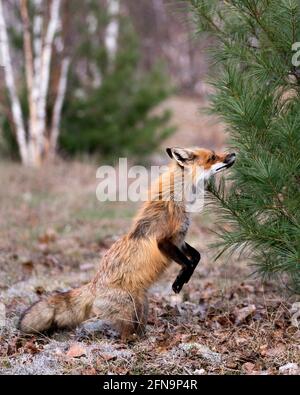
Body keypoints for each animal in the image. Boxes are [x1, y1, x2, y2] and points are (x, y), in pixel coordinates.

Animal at [18, 148, 236, 340]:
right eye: (212, 157)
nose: (233, 153)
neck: (179, 198)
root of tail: (94, 285)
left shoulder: (179, 240)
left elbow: (196, 257)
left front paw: (183, 278)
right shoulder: (164, 241)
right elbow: (189, 262)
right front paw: (179, 282)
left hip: (142, 306)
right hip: (130, 310)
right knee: (124, 334)